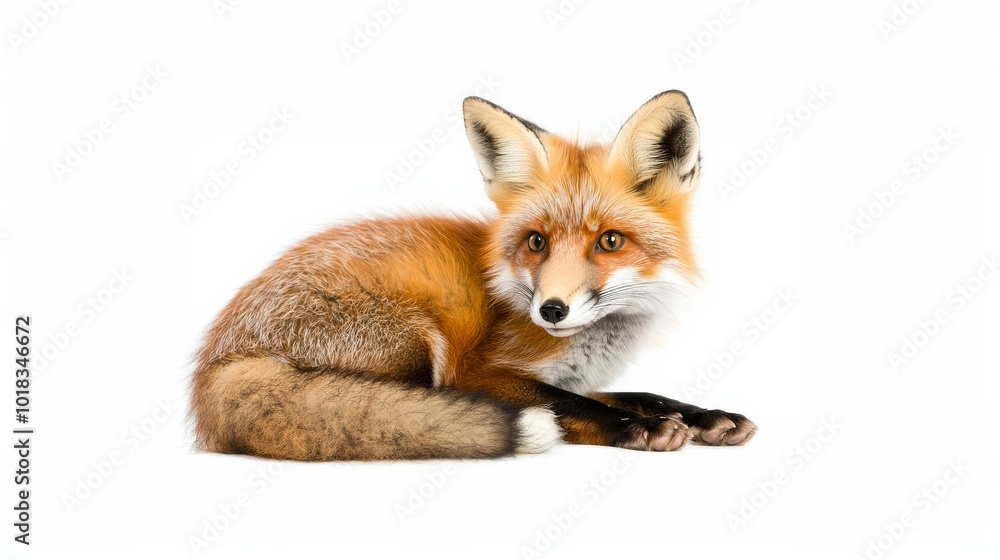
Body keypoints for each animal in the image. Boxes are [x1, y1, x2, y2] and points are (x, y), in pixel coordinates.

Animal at [191, 90, 757, 461]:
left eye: (610, 242)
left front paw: (700, 415)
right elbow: (570, 405)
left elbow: (641, 393)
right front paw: (638, 428)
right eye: (536, 242)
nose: (551, 310)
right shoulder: (483, 372)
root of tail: (217, 363)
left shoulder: (569, 375)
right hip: (417, 340)